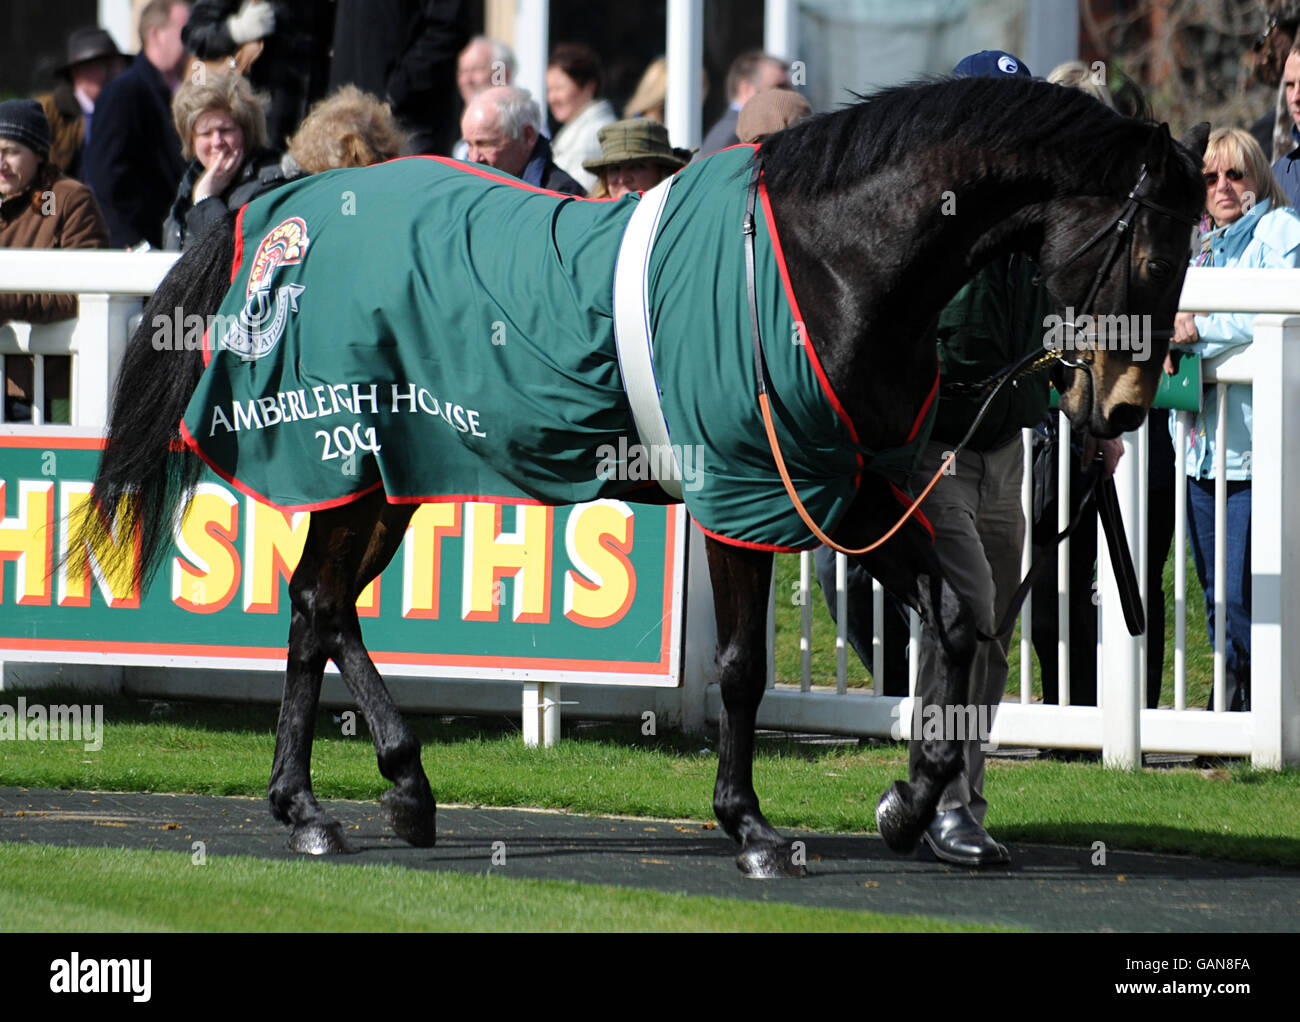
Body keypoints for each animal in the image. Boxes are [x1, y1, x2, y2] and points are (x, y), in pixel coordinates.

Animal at [83, 79, 1206, 873]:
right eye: (1155, 256)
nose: (1118, 411)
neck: (829, 259)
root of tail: (284, 204)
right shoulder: (748, 493)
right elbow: (744, 667)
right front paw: (750, 826)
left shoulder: (850, 488)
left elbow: (957, 618)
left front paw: (909, 802)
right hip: (344, 459)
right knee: (318, 606)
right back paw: (338, 800)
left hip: (392, 472)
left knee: (323, 607)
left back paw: (368, 792)